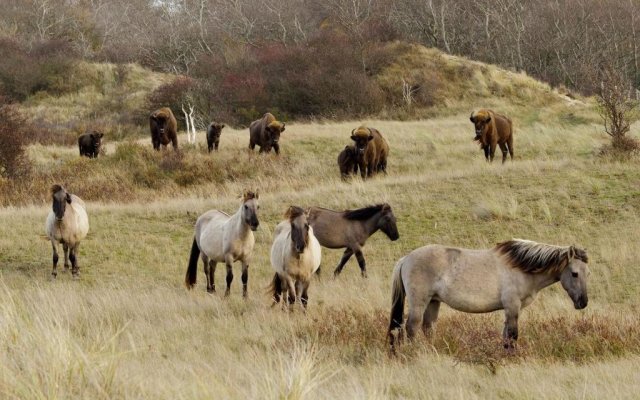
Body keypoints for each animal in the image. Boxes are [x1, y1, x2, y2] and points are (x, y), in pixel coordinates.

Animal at [384, 239, 592, 352]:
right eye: (575, 273)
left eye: (587, 273)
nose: (583, 302)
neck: (521, 268)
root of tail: (406, 258)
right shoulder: (512, 307)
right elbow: (512, 336)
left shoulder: (509, 310)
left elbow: (506, 336)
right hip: (419, 303)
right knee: (411, 328)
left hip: (434, 302)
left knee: (428, 328)